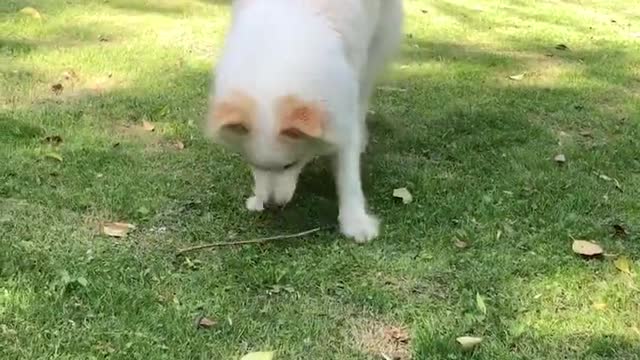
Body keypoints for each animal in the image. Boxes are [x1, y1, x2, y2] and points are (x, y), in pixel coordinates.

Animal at [208, 0, 402, 243]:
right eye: (253, 164)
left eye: (290, 165)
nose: (271, 205)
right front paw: (256, 199)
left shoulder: (342, 108)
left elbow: (348, 175)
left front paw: (355, 221)